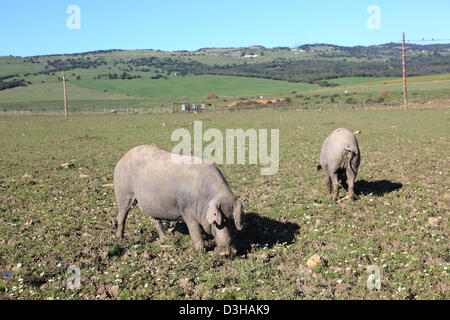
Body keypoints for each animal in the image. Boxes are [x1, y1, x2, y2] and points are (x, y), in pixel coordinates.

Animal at [114, 145, 244, 255]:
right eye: (219, 222)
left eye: (231, 222)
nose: (226, 253)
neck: (204, 198)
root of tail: (123, 157)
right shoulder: (186, 209)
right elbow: (194, 230)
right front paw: (200, 252)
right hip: (123, 192)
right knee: (121, 216)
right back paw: (120, 239)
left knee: (155, 220)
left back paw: (165, 238)